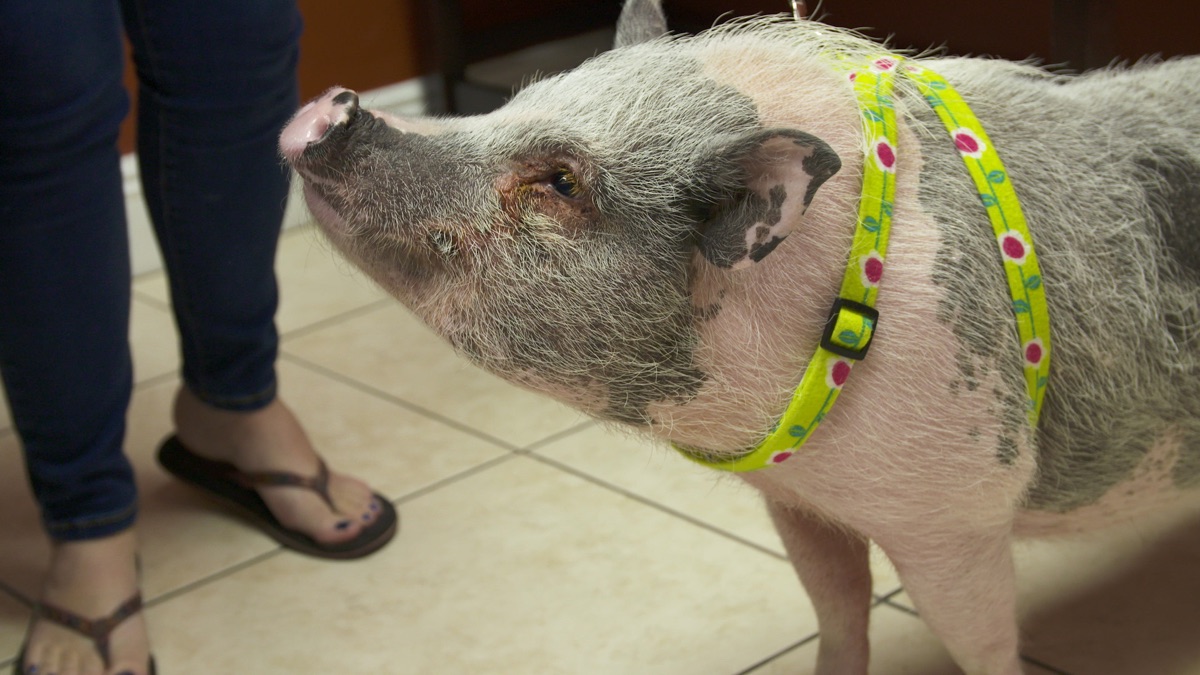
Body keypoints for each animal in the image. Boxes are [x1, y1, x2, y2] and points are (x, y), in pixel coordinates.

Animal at [279, 1, 1200, 672]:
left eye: (562, 181)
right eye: (520, 95)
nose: (331, 108)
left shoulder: (956, 510)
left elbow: (980, 642)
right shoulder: (797, 501)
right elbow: (838, 606)